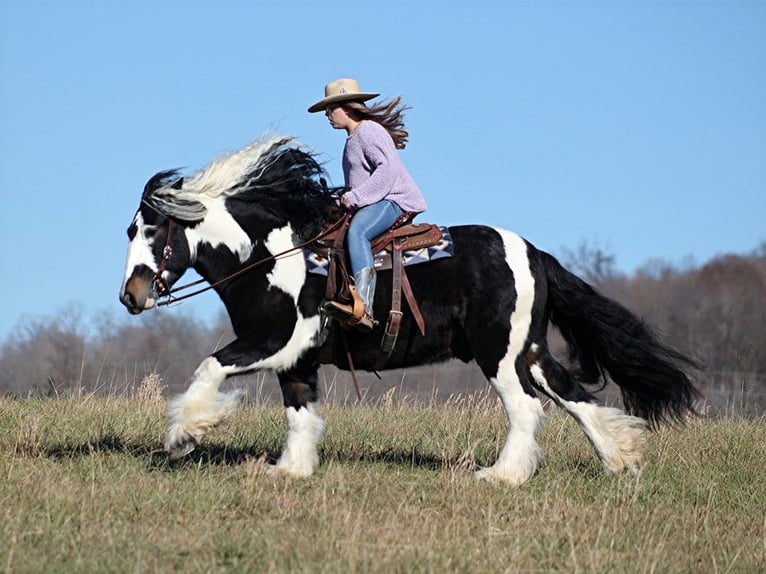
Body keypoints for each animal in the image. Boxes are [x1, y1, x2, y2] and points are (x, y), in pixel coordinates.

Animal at [120, 134, 704, 486]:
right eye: (130, 230)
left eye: (153, 230)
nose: (131, 295)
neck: (270, 257)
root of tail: (533, 253)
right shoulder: (298, 359)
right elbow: (299, 412)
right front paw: (291, 470)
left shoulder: (277, 342)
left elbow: (210, 367)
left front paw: (185, 436)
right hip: (530, 350)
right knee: (575, 396)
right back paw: (621, 459)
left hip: (500, 355)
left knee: (527, 408)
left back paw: (501, 476)